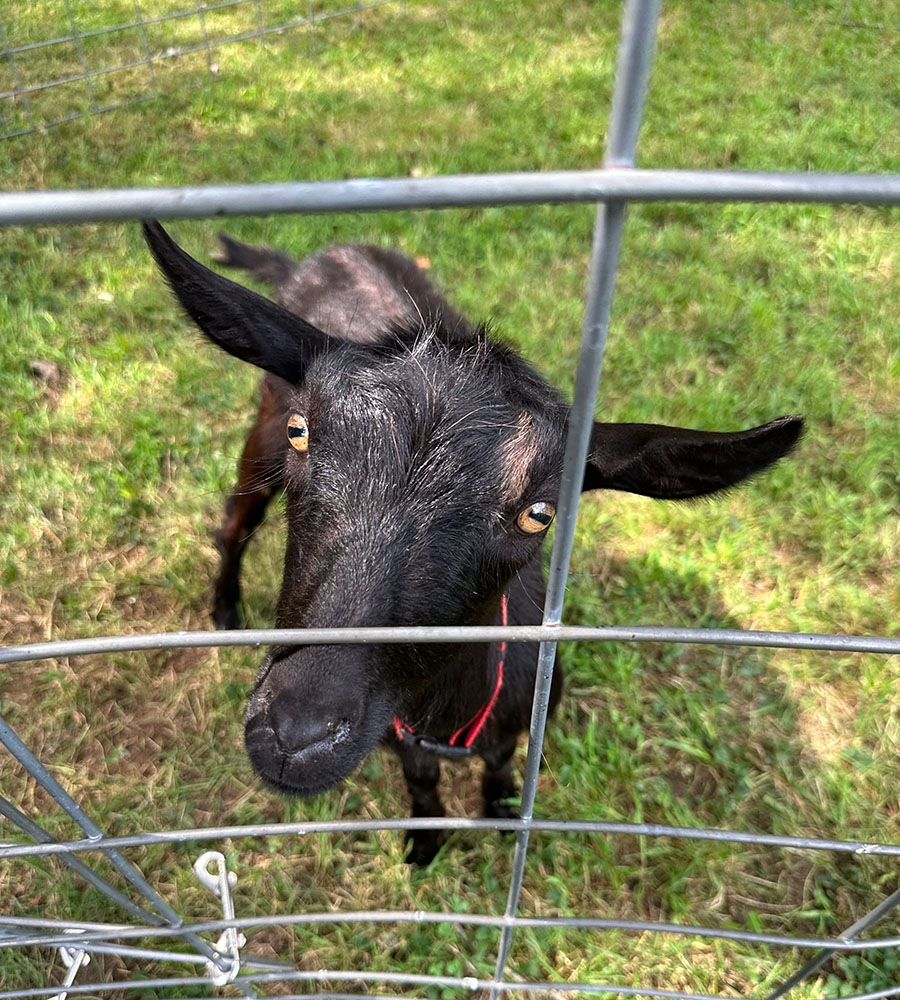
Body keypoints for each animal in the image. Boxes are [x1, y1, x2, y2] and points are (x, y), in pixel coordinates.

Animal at [142, 223, 800, 864]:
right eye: (304, 432)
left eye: (539, 514)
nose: (296, 738)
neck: (448, 719)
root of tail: (318, 258)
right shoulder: (399, 735)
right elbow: (422, 779)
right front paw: (426, 839)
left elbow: (503, 764)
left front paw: (504, 812)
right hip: (260, 439)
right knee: (234, 524)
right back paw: (225, 608)